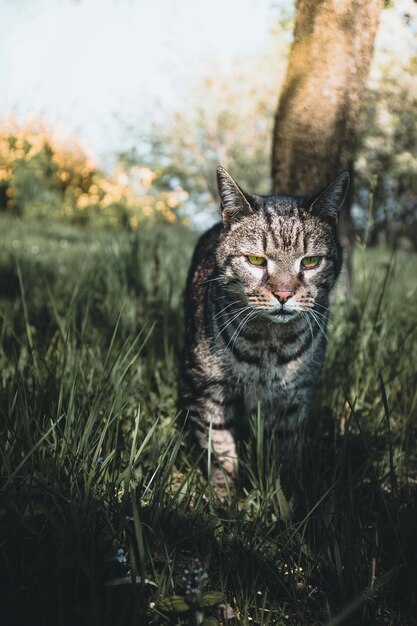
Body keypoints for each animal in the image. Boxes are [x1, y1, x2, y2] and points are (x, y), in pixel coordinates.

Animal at [181, 165, 348, 492]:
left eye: (310, 261)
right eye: (257, 260)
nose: (284, 294)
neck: (268, 346)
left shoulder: (294, 401)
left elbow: (283, 454)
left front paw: (282, 492)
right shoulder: (209, 392)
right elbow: (220, 448)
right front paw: (223, 497)